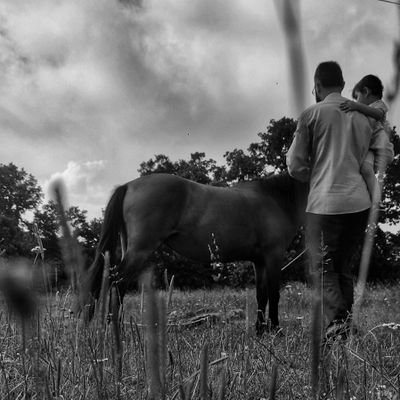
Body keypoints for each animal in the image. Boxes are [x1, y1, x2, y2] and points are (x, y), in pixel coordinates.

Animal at [80, 172, 306, 334]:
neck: (275, 198)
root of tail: (128, 185)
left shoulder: (259, 261)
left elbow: (262, 295)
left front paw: (260, 331)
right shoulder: (273, 256)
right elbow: (274, 294)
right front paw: (276, 330)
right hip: (140, 250)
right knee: (117, 282)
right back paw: (114, 329)